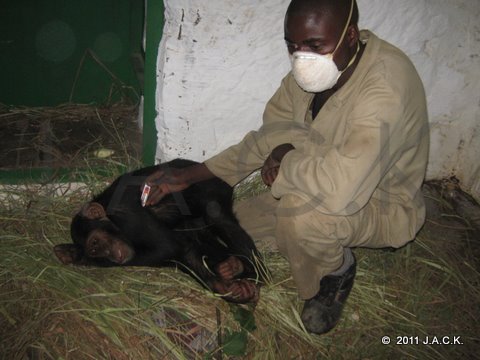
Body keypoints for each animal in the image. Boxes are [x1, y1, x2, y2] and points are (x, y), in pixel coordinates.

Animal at [54, 159, 264, 302]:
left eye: (95, 241)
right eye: (94, 249)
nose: (109, 254)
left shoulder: (129, 215)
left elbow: (166, 247)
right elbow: (183, 253)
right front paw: (71, 253)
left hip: (212, 187)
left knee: (216, 217)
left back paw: (256, 274)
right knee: (197, 243)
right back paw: (233, 273)